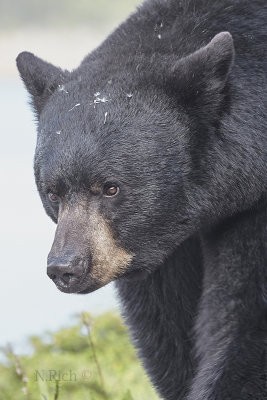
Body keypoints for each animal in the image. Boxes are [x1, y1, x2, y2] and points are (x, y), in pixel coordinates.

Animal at [16, 0, 267, 398]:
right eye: (52, 191)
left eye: (111, 187)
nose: (66, 268)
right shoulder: (156, 249)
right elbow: (166, 328)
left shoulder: (252, 212)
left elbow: (248, 320)